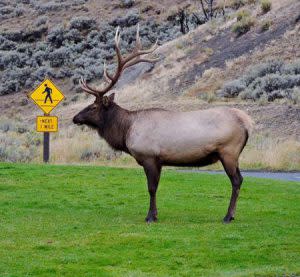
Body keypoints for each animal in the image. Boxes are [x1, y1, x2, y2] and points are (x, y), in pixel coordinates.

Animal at [72, 24, 253, 223]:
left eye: (93, 106)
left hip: (229, 151)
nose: (75, 118)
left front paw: (150, 216)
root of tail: (248, 123)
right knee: (240, 179)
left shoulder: (149, 156)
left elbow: (151, 188)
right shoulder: (159, 161)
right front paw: (155, 214)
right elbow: (155, 188)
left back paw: (228, 216)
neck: (126, 130)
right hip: (232, 154)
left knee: (236, 180)